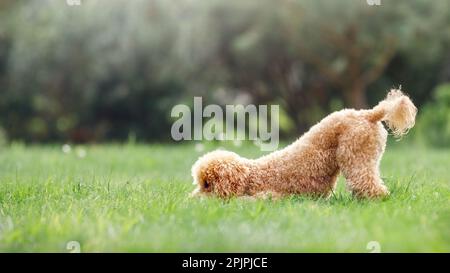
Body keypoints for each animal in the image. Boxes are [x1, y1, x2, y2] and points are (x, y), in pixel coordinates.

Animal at [191, 89, 418, 198]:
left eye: (207, 184)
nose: (191, 201)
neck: (251, 176)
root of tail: (368, 114)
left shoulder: (272, 196)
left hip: (356, 156)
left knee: (366, 182)